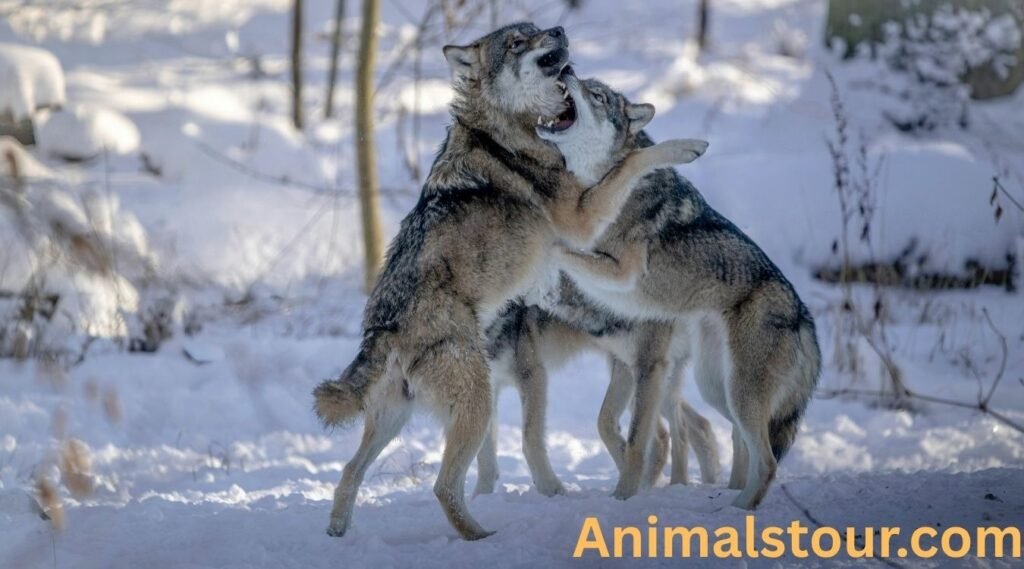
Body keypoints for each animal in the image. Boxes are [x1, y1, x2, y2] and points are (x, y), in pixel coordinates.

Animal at [312, 23, 707, 540]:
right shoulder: (579, 220)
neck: (509, 134)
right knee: (443, 485)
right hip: (476, 403)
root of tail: (383, 327)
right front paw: (684, 147)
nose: (559, 29)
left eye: (537, 29)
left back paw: (339, 533)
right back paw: (480, 537)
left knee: (349, 472)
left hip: (395, 419)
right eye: (519, 42)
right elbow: (628, 165)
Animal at [546, 78, 822, 510]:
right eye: (586, 85)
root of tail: (805, 319)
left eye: (598, 96)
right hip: (717, 388)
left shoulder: (622, 274)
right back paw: (730, 497)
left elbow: (560, 246)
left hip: (738, 394)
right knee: (741, 442)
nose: (567, 71)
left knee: (767, 461)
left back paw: (738, 509)